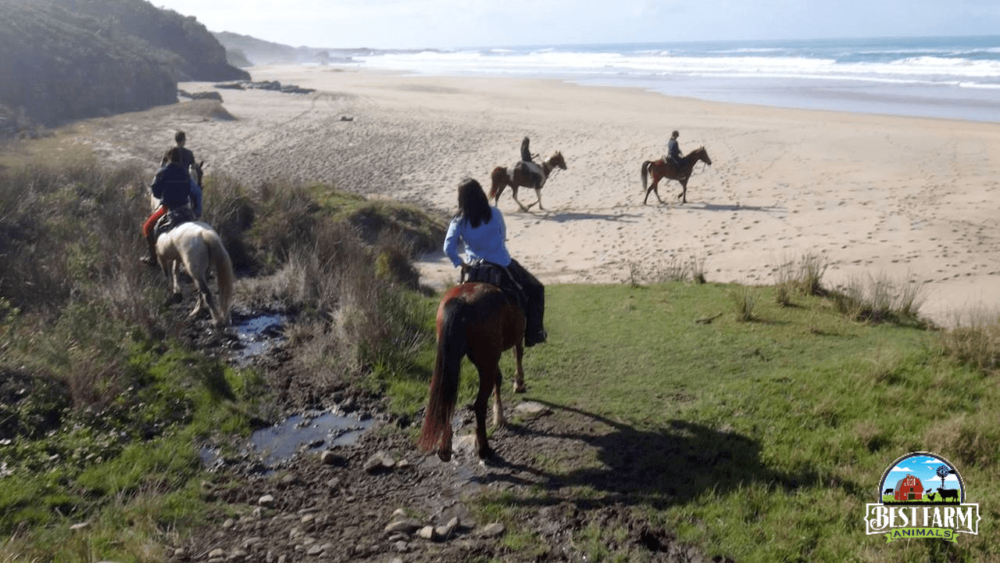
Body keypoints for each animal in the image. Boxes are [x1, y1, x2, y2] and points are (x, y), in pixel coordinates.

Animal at [420, 282, 532, 462]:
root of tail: (461, 300)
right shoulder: (515, 339)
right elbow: (518, 355)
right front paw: (519, 384)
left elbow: (499, 377)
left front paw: (499, 415)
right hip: (485, 362)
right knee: (479, 405)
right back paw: (484, 449)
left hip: (455, 361)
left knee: (449, 399)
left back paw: (445, 449)